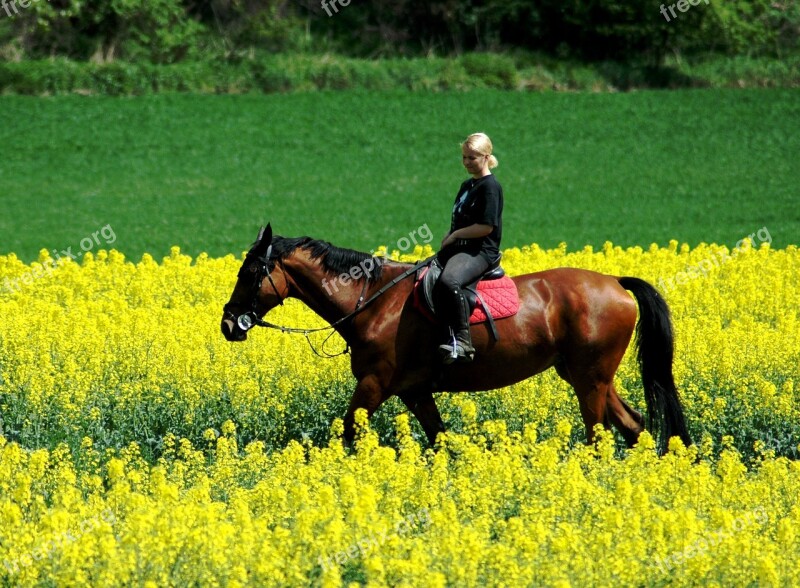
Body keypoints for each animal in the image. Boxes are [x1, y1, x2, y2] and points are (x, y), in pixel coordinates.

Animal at [222, 225, 692, 454]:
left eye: (250, 272)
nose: (228, 324)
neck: (374, 300)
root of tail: (614, 282)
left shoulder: (375, 384)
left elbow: (347, 431)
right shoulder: (413, 391)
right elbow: (441, 440)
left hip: (589, 380)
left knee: (599, 436)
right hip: (588, 376)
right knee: (634, 427)